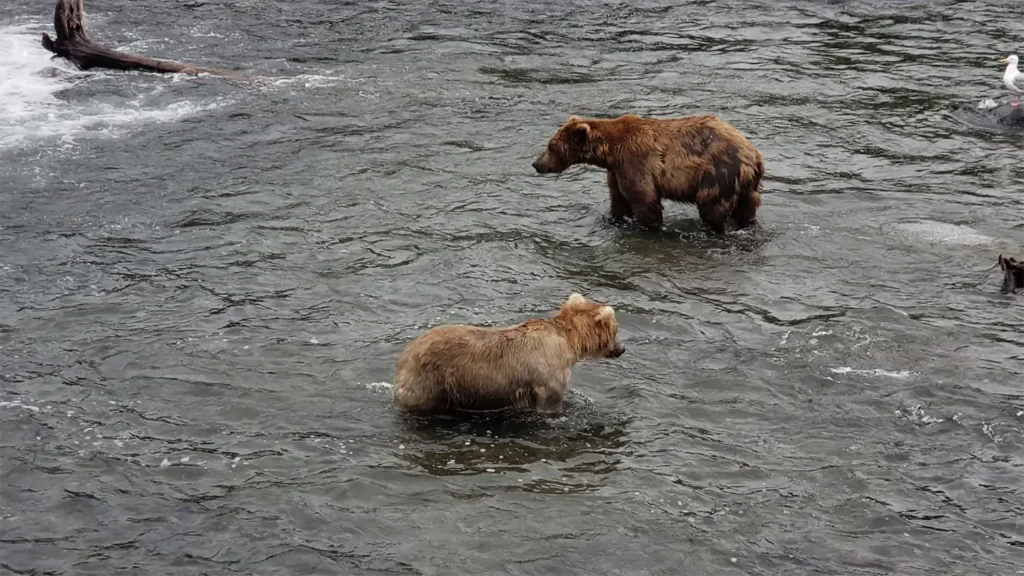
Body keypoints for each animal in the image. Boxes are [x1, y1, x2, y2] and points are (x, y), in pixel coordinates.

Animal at [392, 293, 625, 413]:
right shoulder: (548, 373)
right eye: (616, 329)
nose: (621, 349)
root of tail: (404, 354)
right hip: (429, 381)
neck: (569, 342)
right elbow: (551, 399)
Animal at [531, 113, 765, 234]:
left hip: (719, 174)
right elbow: (618, 199)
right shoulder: (616, 171)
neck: (610, 152)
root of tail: (754, 155)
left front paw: (649, 226)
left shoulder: (635, 162)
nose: (536, 164)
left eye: (551, 147)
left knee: (711, 206)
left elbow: (645, 200)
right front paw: (614, 219)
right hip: (748, 186)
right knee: (746, 209)